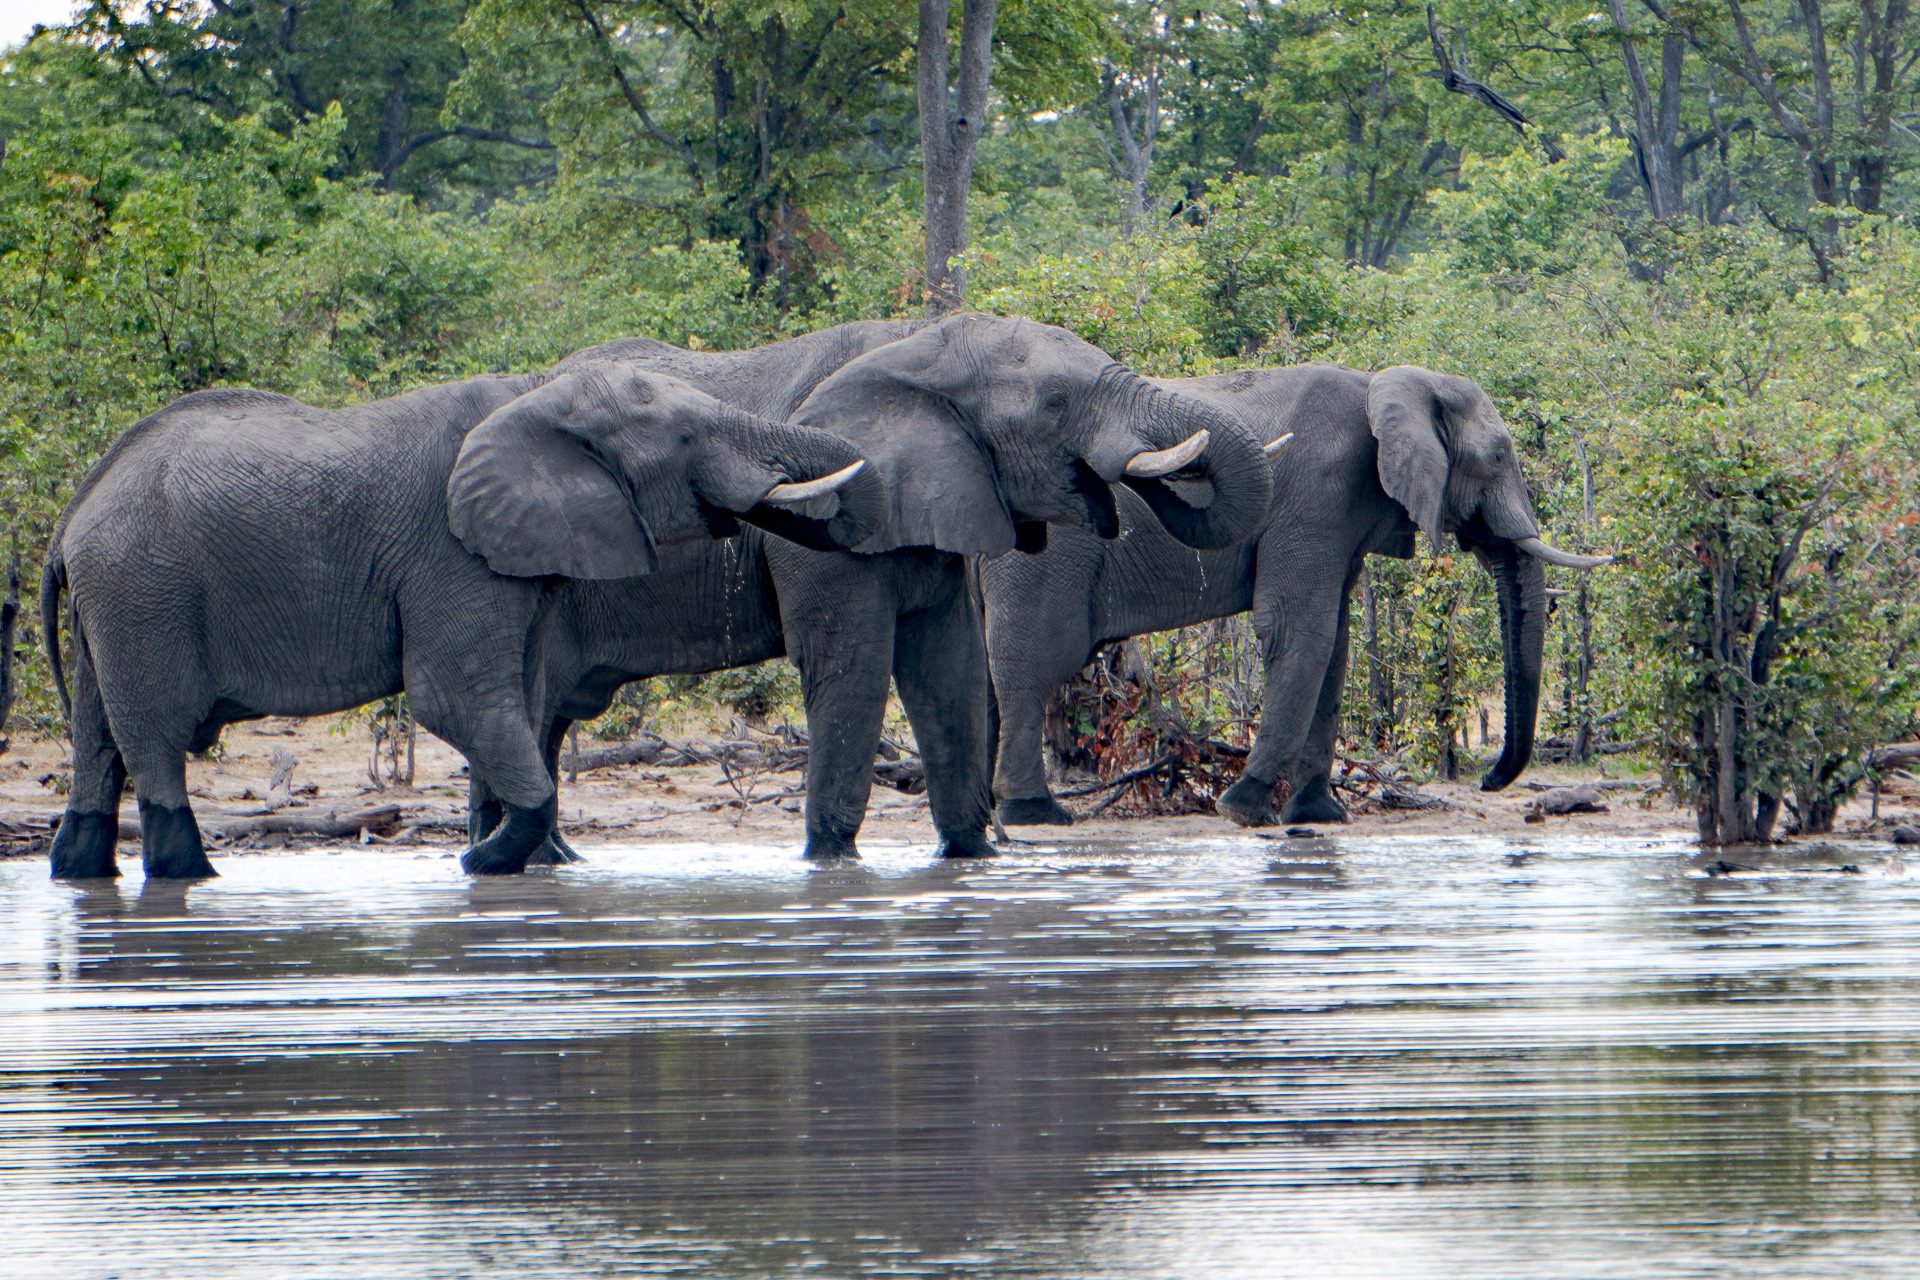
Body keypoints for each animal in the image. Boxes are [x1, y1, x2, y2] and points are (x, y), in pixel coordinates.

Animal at [41, 364, 877, 880]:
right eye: (685, 438)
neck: (535, 394)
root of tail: (74, 508)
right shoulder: (447, 554)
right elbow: (454, 701)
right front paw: (482, 861)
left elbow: (522, 700)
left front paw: (495, 859)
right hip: (144, 591)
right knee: (153, 737)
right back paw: (193, 874)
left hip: (113, 601)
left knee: (98, 737)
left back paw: (81, 866)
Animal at [461, 313, 1279, 862]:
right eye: (1054, 405)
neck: (922, 343)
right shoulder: (840, 523)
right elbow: (853, 670)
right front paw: (833, 863)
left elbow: (949, 669)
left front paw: (972, 857)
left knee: (537, 717)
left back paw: (544, 862)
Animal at [981, 362, 1611, 829]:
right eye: (1500, 456)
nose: (1485, 780)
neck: (1385, 384)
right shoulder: (1320, 495)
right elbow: (1299, 628)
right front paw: (1243, 810)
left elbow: (1334, 643)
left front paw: (1318, 816)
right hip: (1043, 557)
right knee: (1030, 662)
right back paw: (1034, 814)